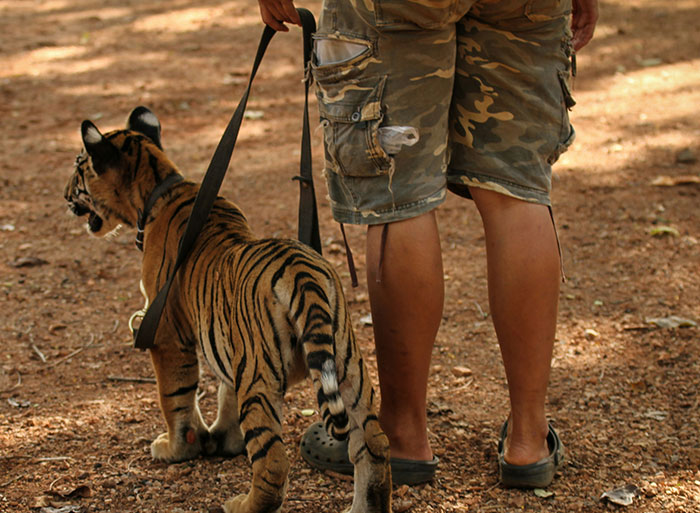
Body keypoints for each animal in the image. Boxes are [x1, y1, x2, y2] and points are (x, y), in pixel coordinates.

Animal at [64, 106, 392, 513]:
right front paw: (222, 440)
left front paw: (176, 448)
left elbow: (175, 398)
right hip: (349, 367)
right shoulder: (224, 342)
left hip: (260, 379)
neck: (159, 186)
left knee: (272, 462)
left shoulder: (166, 335)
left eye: (79, 168)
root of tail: (302, 273)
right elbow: (223, 391)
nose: (64, 196)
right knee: (373, 445)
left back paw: (241, 504)